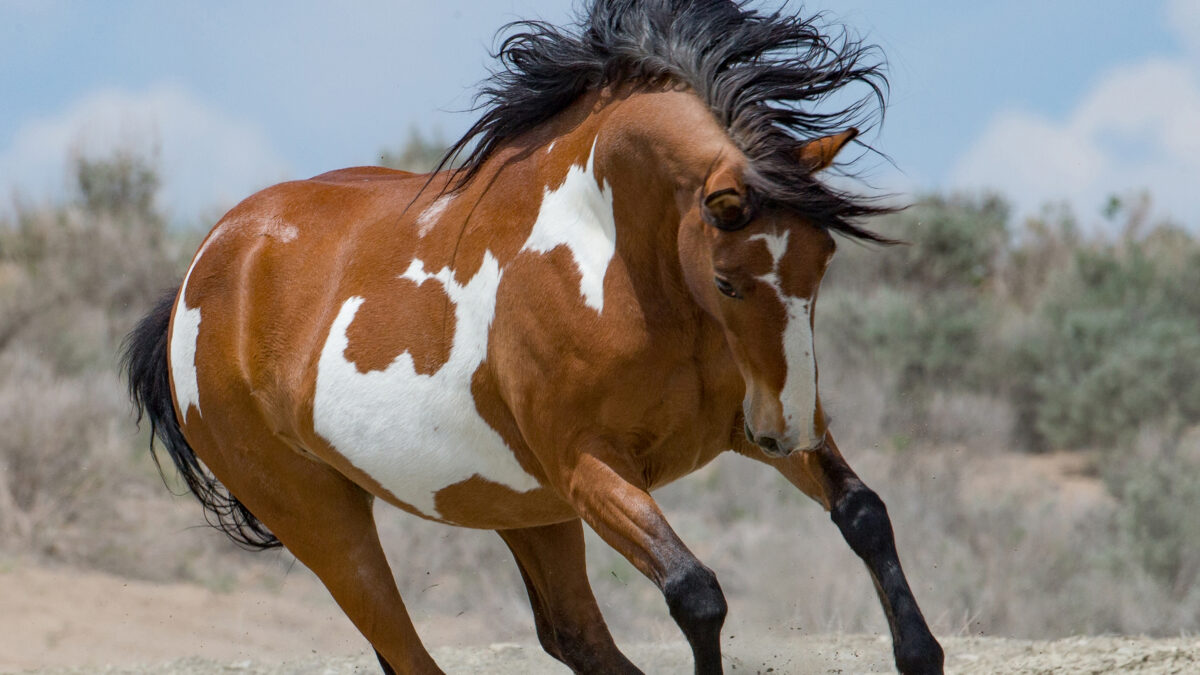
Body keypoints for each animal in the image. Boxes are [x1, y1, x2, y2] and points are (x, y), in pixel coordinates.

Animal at [124, 2, 945, 667]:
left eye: (825, 260)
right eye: (727, 282)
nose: (786, 429)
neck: (621, 268)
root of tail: (200, 276)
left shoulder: (733, 427)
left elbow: (865, 515)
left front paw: (921, 654)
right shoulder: (591, 467)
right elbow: (696, 592)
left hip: (526, 509)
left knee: (573, 637)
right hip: (325, 521)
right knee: (411, 649)